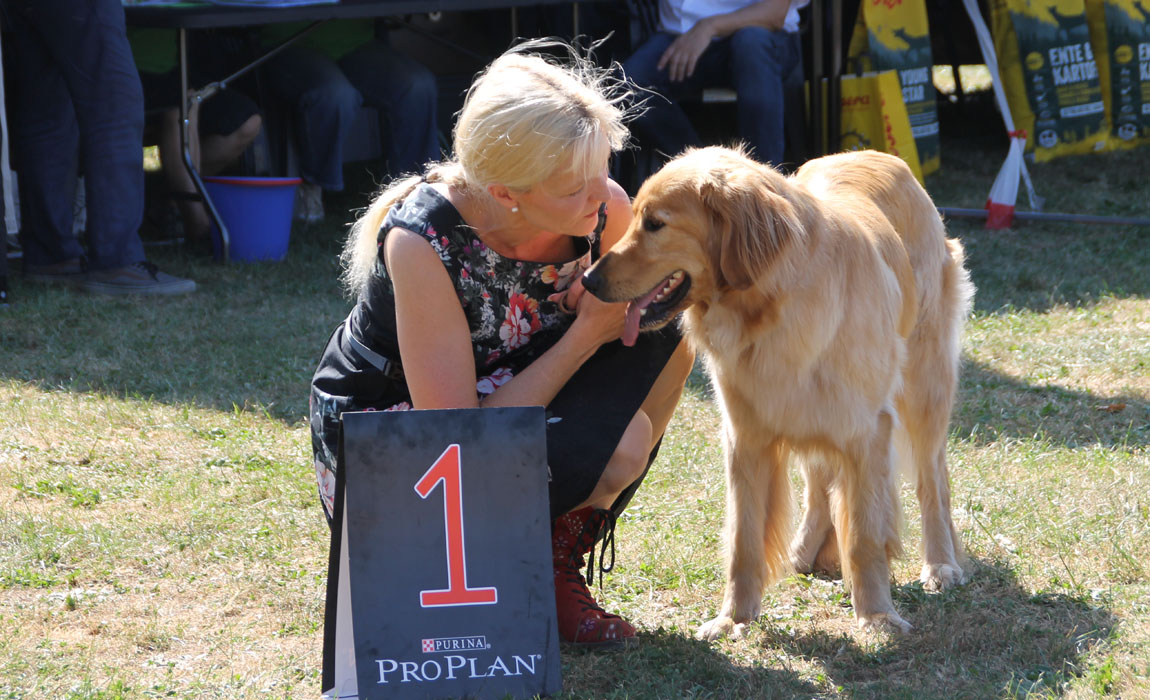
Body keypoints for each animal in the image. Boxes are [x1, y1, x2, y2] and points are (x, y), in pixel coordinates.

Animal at [584, 148, 970, 639]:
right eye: (634, 216)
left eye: (655, 224)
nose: (588, 280)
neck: (769, 313)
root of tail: (879, 155)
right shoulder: (747, 436)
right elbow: (743, 539)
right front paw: (733, 618)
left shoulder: (866, 431)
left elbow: (865, 535)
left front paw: (877, 615)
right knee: (821, 482)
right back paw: (807, 550)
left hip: (924, 385)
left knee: (932, 479)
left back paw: (940, 564)